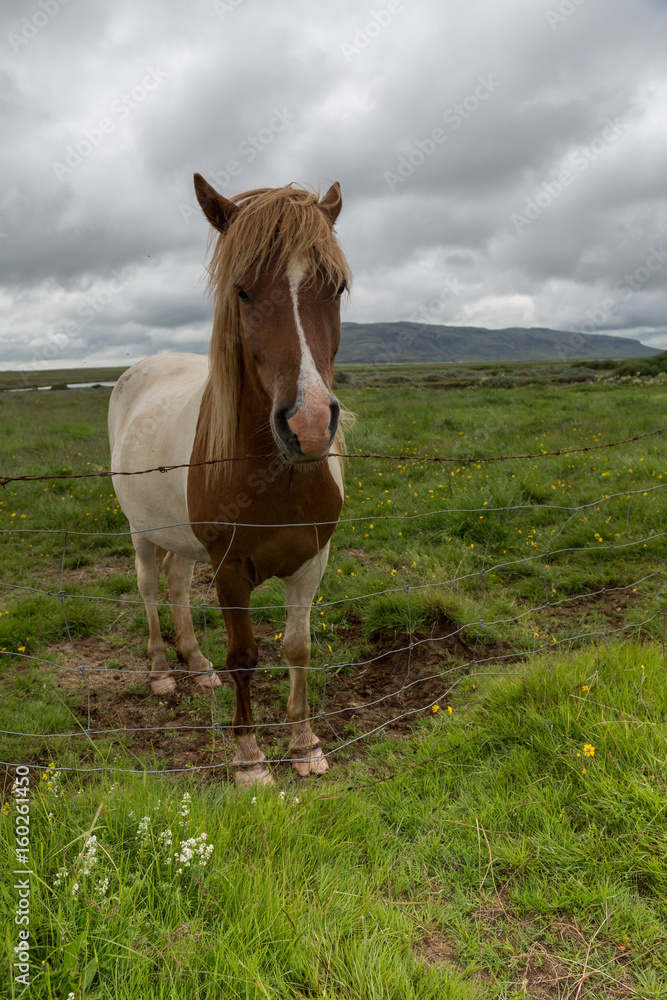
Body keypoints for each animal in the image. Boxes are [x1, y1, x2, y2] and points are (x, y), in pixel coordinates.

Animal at [107, 174, 352, 788]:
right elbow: (244, 657)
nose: (308, 425)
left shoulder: (312, 560)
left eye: (336, 288)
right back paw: (162, 671)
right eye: (242, 291)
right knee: (150, 587)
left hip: (181, 539)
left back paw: (196, 664)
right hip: (140, 529)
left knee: (175, 585)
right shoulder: (230, 569)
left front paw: (305, 742)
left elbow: (298, 648)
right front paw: (249, 760)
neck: (274, 477)